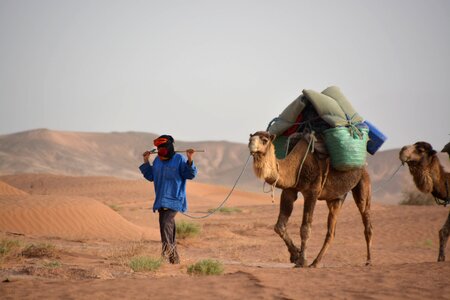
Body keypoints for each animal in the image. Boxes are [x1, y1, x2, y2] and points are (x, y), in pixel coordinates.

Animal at [246, 131, 372, 268]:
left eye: (264, 140)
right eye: (251, 137)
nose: (250, 143)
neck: (295, 167)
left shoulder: (312, 192)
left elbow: (305, 228)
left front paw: (302, 261)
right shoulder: (289, 190)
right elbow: (279, 226)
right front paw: (295, 255)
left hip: (363, 182)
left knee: (365, 216)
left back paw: (369, 260)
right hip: (336, 198)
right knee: (331, 231)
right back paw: (316, 262)